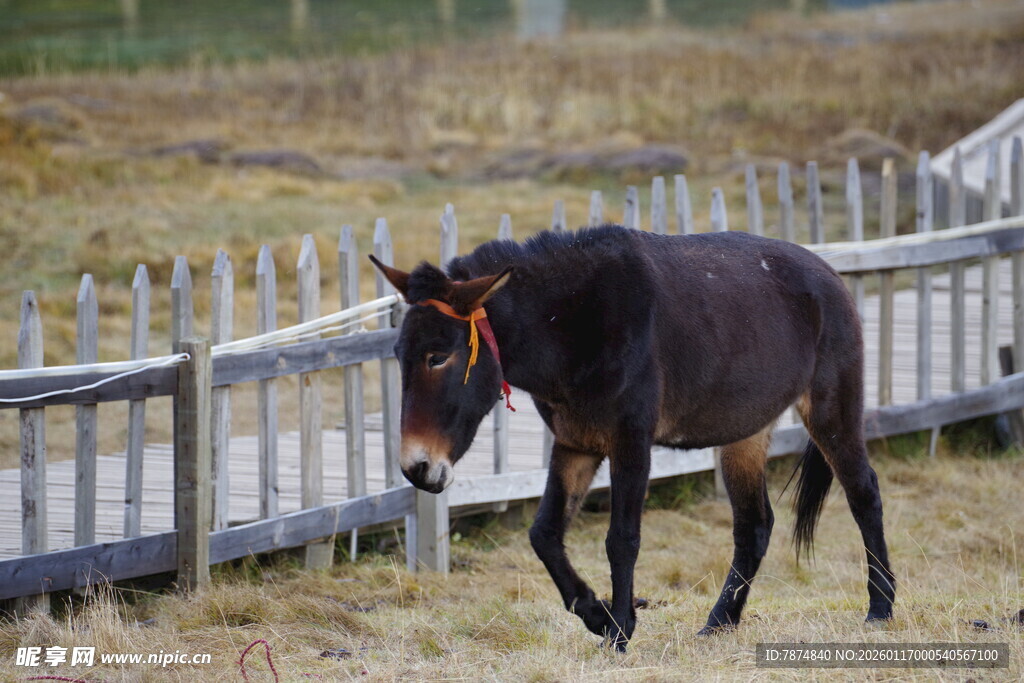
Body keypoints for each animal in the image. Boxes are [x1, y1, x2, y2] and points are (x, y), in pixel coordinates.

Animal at [369, 224, 895, 651]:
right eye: (398, 355)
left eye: (438, 356)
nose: (416, 469)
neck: (572, 323)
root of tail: (828, 273)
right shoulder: (575, 444)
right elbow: (544, 534)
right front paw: (596, 614)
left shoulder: (630, 442)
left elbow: (621, 538)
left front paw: (620, 629)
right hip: (746, 431)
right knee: (754, 525)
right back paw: (719, 622)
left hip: (830, 407)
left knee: (864, 493)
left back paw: (881, 608)